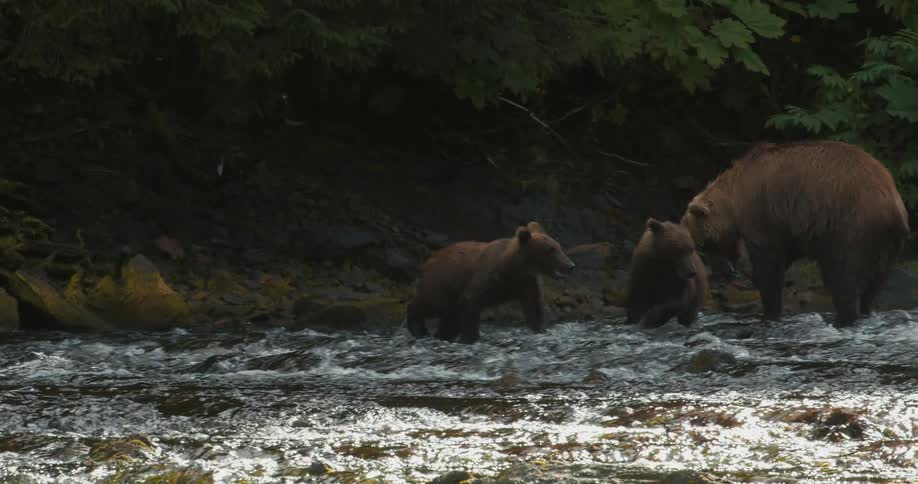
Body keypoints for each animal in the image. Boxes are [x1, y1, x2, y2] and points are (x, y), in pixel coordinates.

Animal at [405, 221, 576, 344]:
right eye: (551, 250)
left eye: (559, 247)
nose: (570, 265)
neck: (514, 268)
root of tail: (427, 261)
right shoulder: (487, 278)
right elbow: (471, 302)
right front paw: (469, 338)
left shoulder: (526, 283)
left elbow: (534, 305)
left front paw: (540, 329)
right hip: (442, 283)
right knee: (430, 303)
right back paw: (418, 328)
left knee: (449, 316)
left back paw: (442, 335)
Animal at [680, 140, 910, 327]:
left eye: (702, 245)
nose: (722, 271)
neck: (734, 199)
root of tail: (892, 203)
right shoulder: (791, 227)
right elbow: (785, 255)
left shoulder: (763, 212)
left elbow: (768, 264)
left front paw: (769, 310)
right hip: (886, 244)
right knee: (874, 283)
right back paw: (865, 310)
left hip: (851, 226)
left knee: (844, 276)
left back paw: (845, 316)